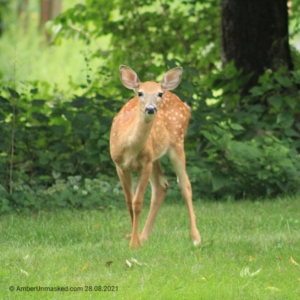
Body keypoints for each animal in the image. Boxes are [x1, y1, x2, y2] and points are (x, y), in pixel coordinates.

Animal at [109, 64, 200, 247]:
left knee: (185, 184)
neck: (130, 148)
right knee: (161, 185)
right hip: (155, 156)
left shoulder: (145, 164)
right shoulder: (120, 166)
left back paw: (195, 237)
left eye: (159, 94)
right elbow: (129, 202)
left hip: (177, 143)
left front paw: (134, 244)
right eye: (140, 93)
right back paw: (144, 236)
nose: (150, 109)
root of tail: (185, 105)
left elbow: (137, 202)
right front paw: (135, 238)